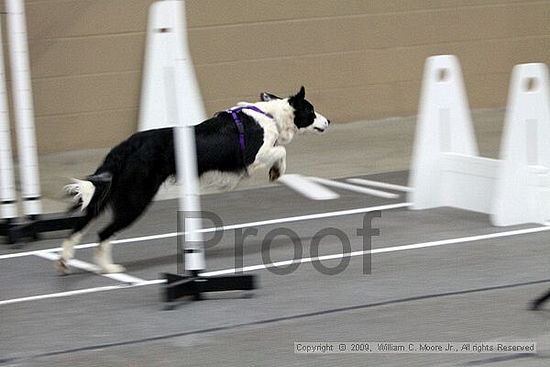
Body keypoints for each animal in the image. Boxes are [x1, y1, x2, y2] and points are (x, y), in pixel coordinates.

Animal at [57, 87, 330, 274]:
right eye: (311, 110)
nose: (328, 121)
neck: (270, 116)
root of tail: (125, 147)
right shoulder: (253, 157)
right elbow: (280, 151)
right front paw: (276, 171)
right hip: (136, 197)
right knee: (104, 232)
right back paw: (108, 268)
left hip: (113, 191)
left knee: (82, 222)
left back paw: (64, 260)